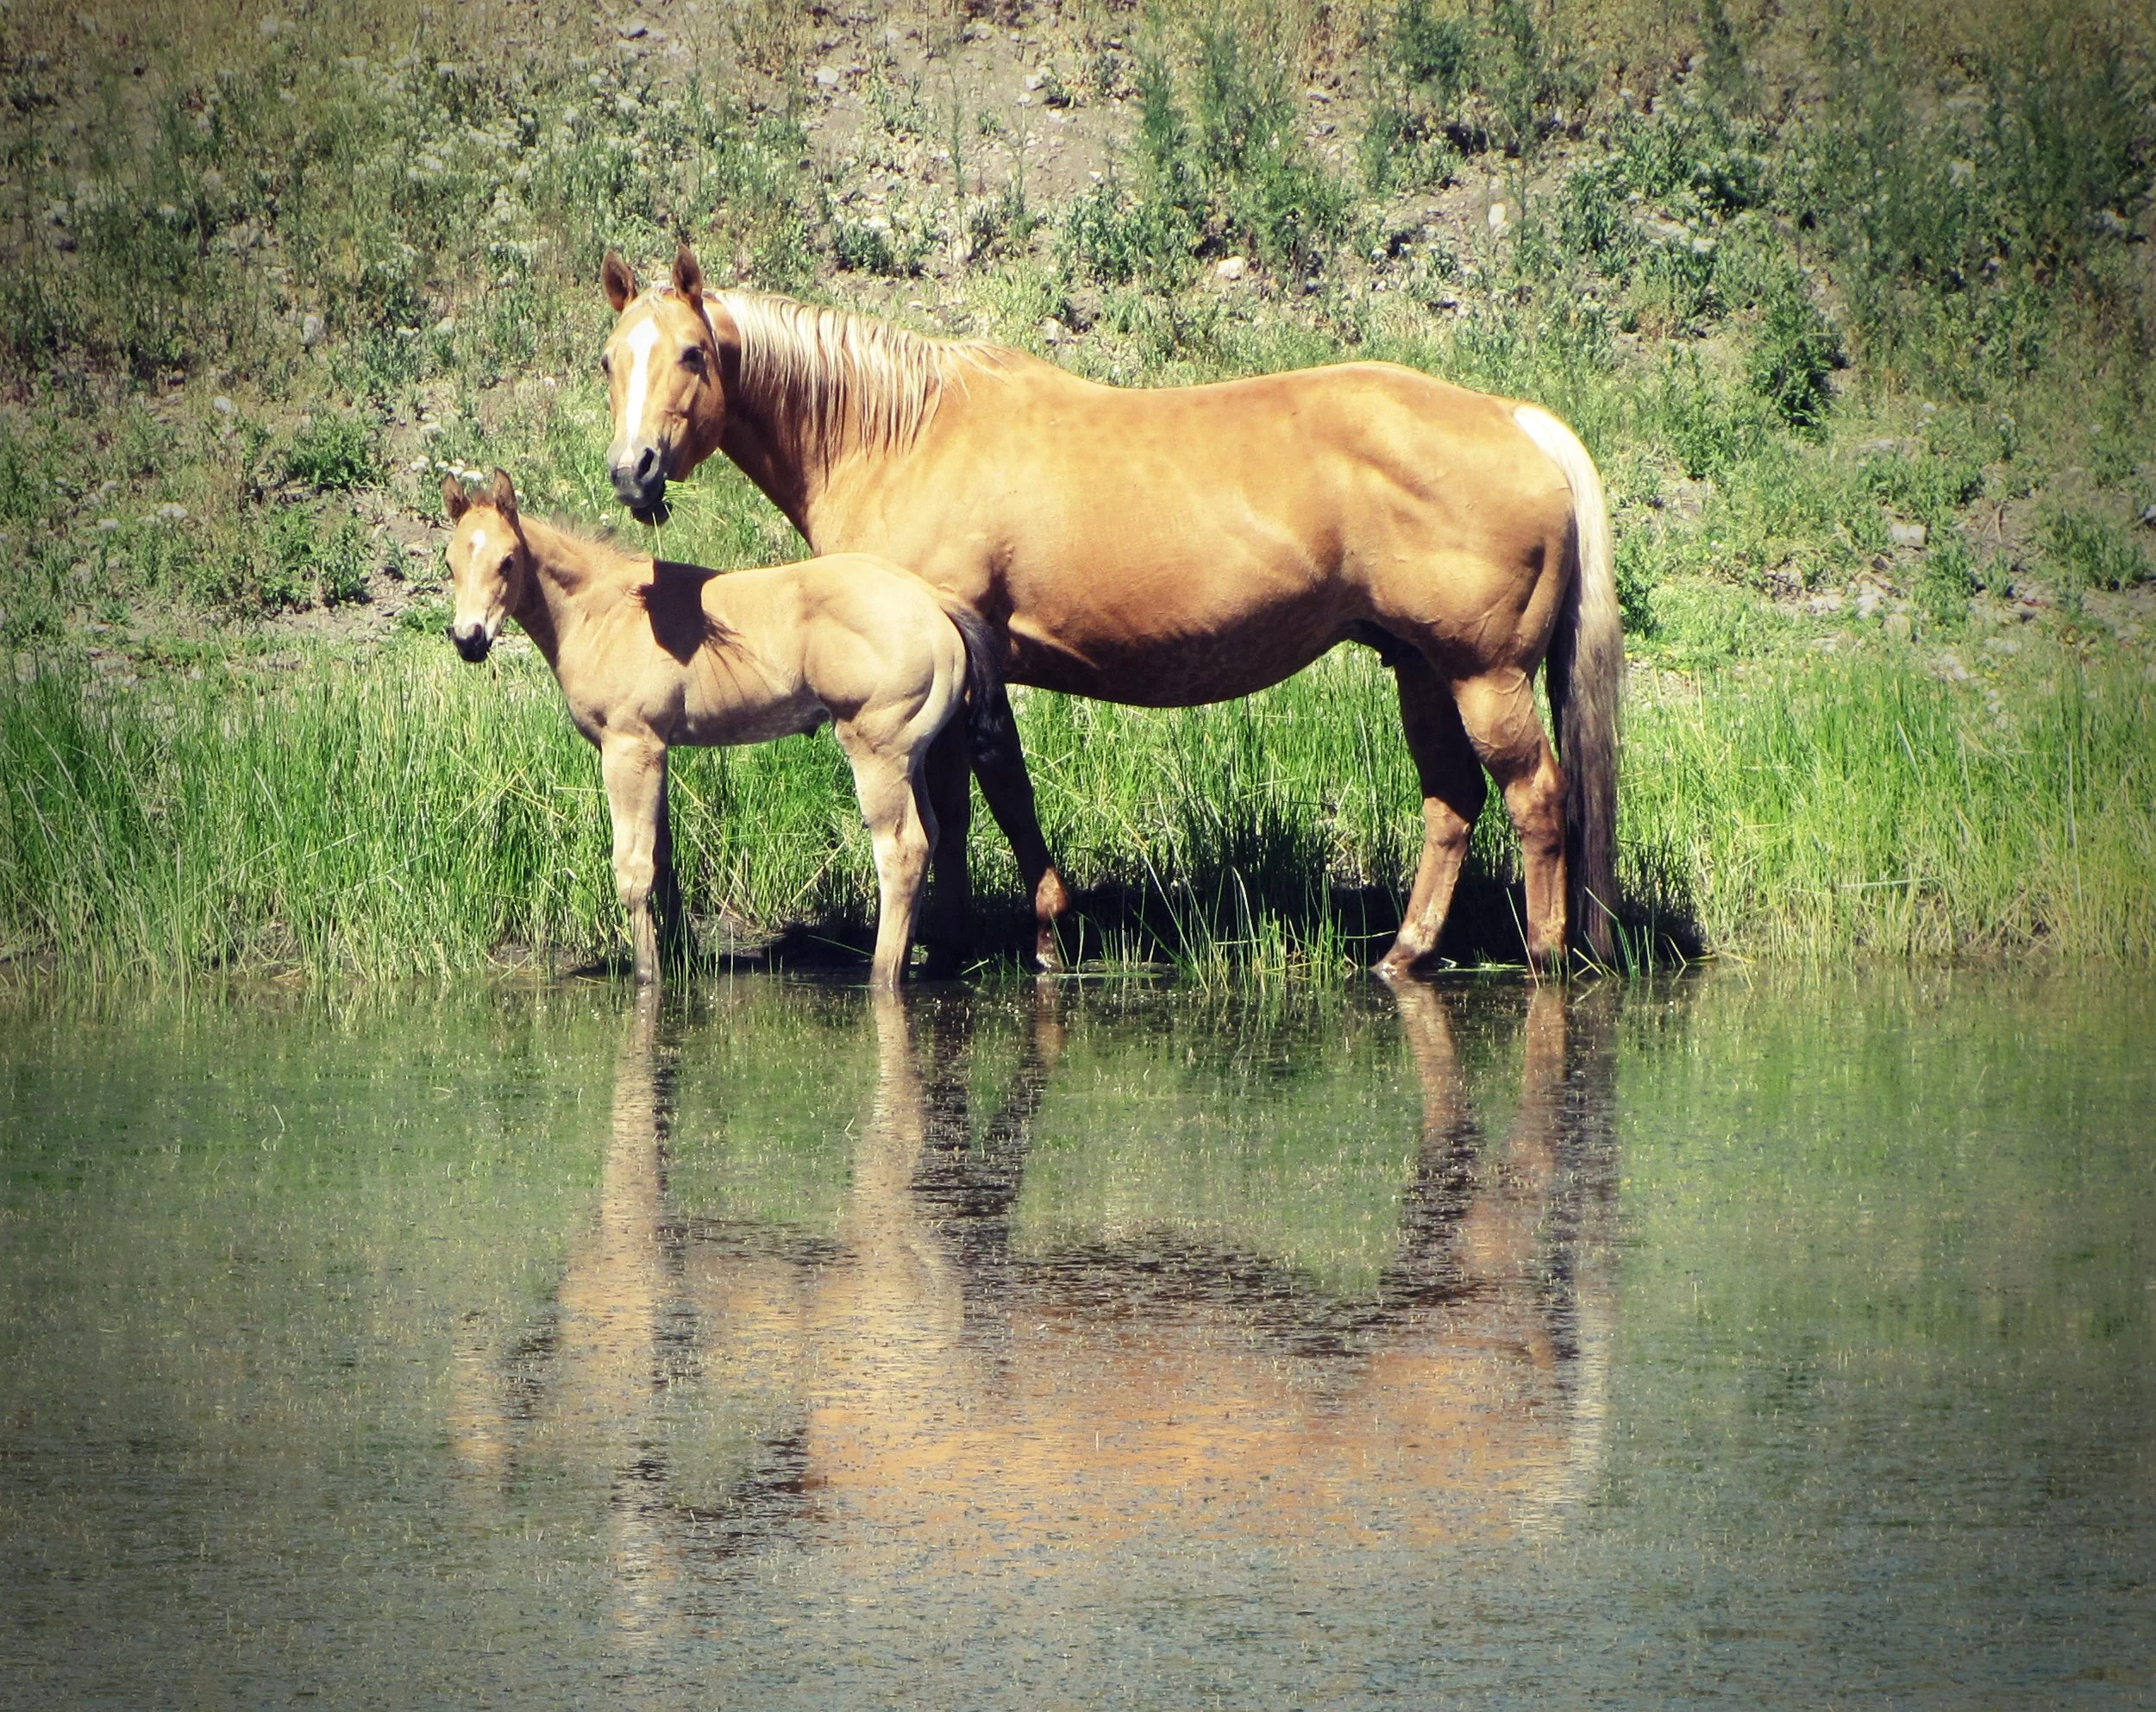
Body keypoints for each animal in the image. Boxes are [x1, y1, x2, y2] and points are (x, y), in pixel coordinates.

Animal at [441, 468, 1005, 988]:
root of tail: (931, 601)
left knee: (902, 850)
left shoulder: (628, 746)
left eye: (507, 561)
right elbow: (662, 859)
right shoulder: (657, 748)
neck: (605, 611)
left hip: (876, 750)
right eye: (450, 563)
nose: (469, 640)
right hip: (912, 755)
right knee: (932, 836)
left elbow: (633, 869)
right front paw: (679, 959)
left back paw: (883, 978)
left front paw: (648, 976)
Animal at [597, 244, 1622, 976]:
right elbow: (964, 806)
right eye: (610, 359)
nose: (632, 470)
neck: (901, 435)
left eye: (692, 353)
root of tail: (1515, 419)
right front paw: (961, 939)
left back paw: (1542, 955)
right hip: (1421, 667)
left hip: (1485, 674)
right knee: (1452, 799)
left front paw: (1030, 937)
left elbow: (992, 797)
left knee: (1534, 796)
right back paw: (1403, 954)